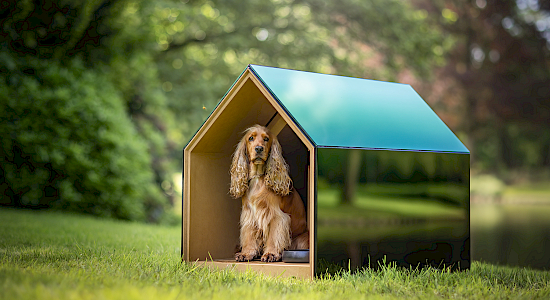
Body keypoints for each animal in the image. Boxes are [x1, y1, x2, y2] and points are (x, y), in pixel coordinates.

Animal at [231, 124, 310, 262]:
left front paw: (270, 254)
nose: (258, 148)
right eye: (251, 138)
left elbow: (273, 237)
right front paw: (246, 253)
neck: (258, 177)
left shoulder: (276, 215)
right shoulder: (249, 214)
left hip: (302, 239)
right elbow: (249, 235)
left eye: (266, 139)